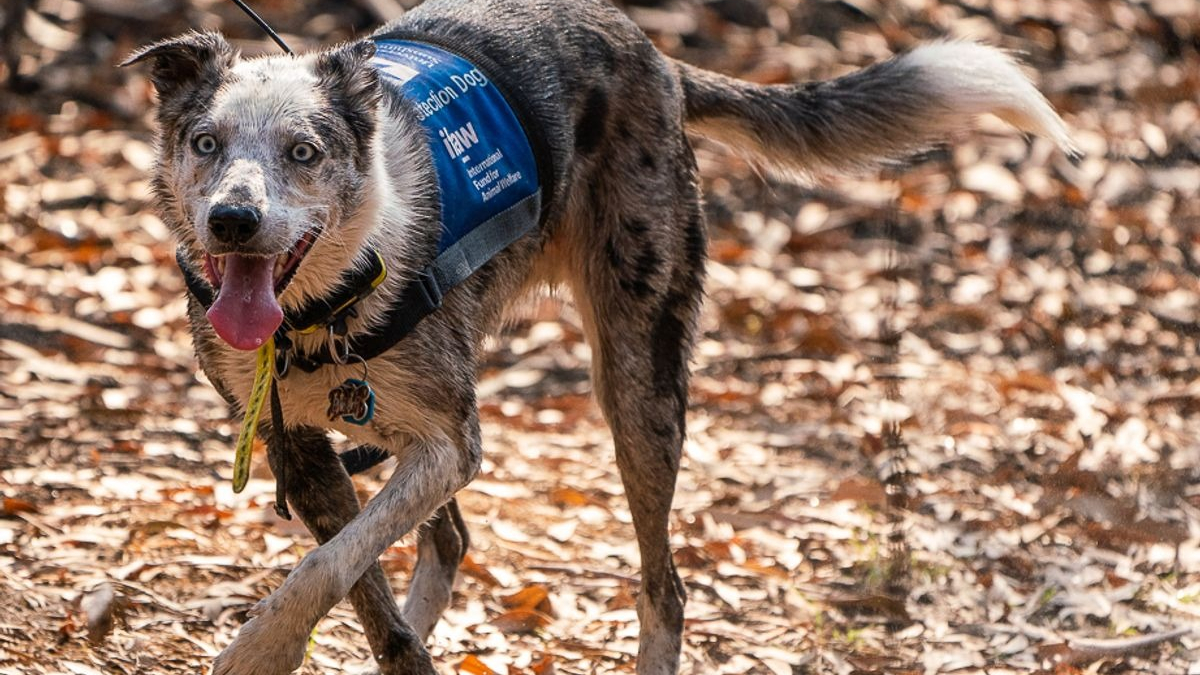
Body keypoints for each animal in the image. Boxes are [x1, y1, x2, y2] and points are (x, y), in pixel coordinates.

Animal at [124, 1, 1080, 672]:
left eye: (304, 152)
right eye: (205, 142)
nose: (232, 221)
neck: (324, 307)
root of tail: (649, 51)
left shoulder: (449, 442)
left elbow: (325, 568)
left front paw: (257, 651)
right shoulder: (301, 445)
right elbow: (356, 578)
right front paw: (380, 647)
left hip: (639, 389)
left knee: (666, 587)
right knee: (451, 539)